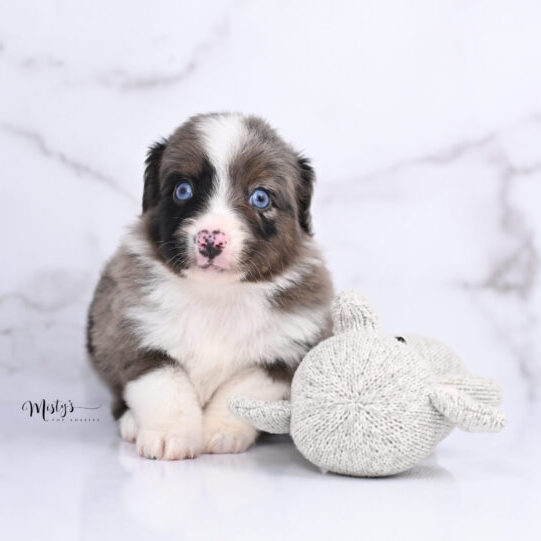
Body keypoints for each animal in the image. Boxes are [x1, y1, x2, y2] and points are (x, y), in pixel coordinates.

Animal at [87, 112, 334, 458]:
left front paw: (222, 432)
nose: (210, 240)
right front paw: (170, 435)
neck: (217, 296)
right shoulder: (131, 335)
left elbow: (241, 392)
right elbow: (166, 384)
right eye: (183, 190)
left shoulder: (285, 355)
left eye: (260, 196)